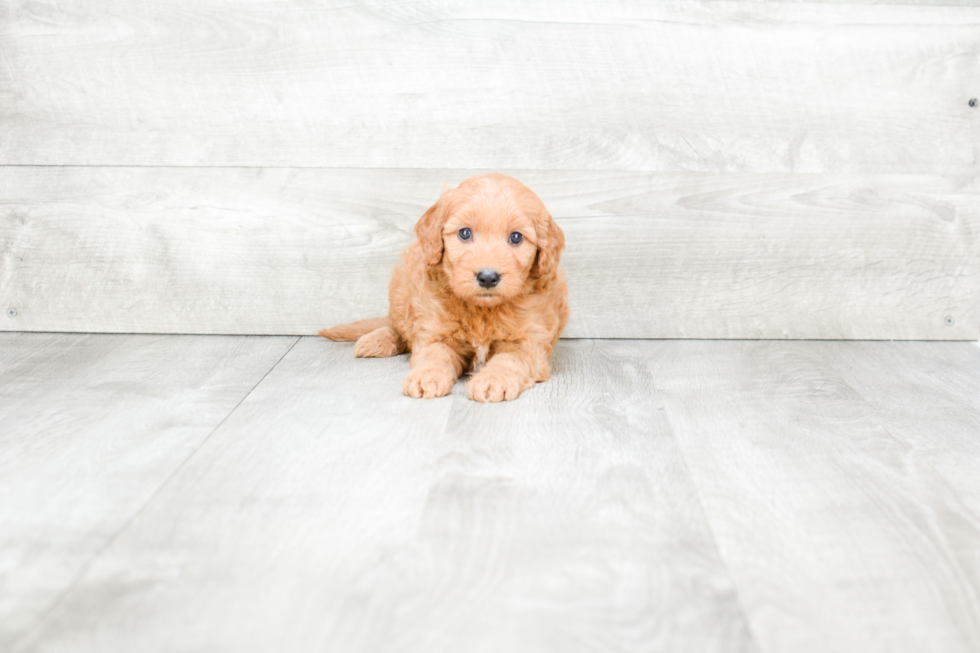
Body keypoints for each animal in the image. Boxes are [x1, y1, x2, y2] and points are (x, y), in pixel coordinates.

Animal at [322, 171, 568, 400]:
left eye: (516, 237)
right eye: (465, 233)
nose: (488, 277)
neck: (483, 311)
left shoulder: (528, 342)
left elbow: (509, 359)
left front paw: (492, 380)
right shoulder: (435, 332)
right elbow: (435, 354)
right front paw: (425, 376)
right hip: (402, 289)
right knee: (397, 326)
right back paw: (376, 340)